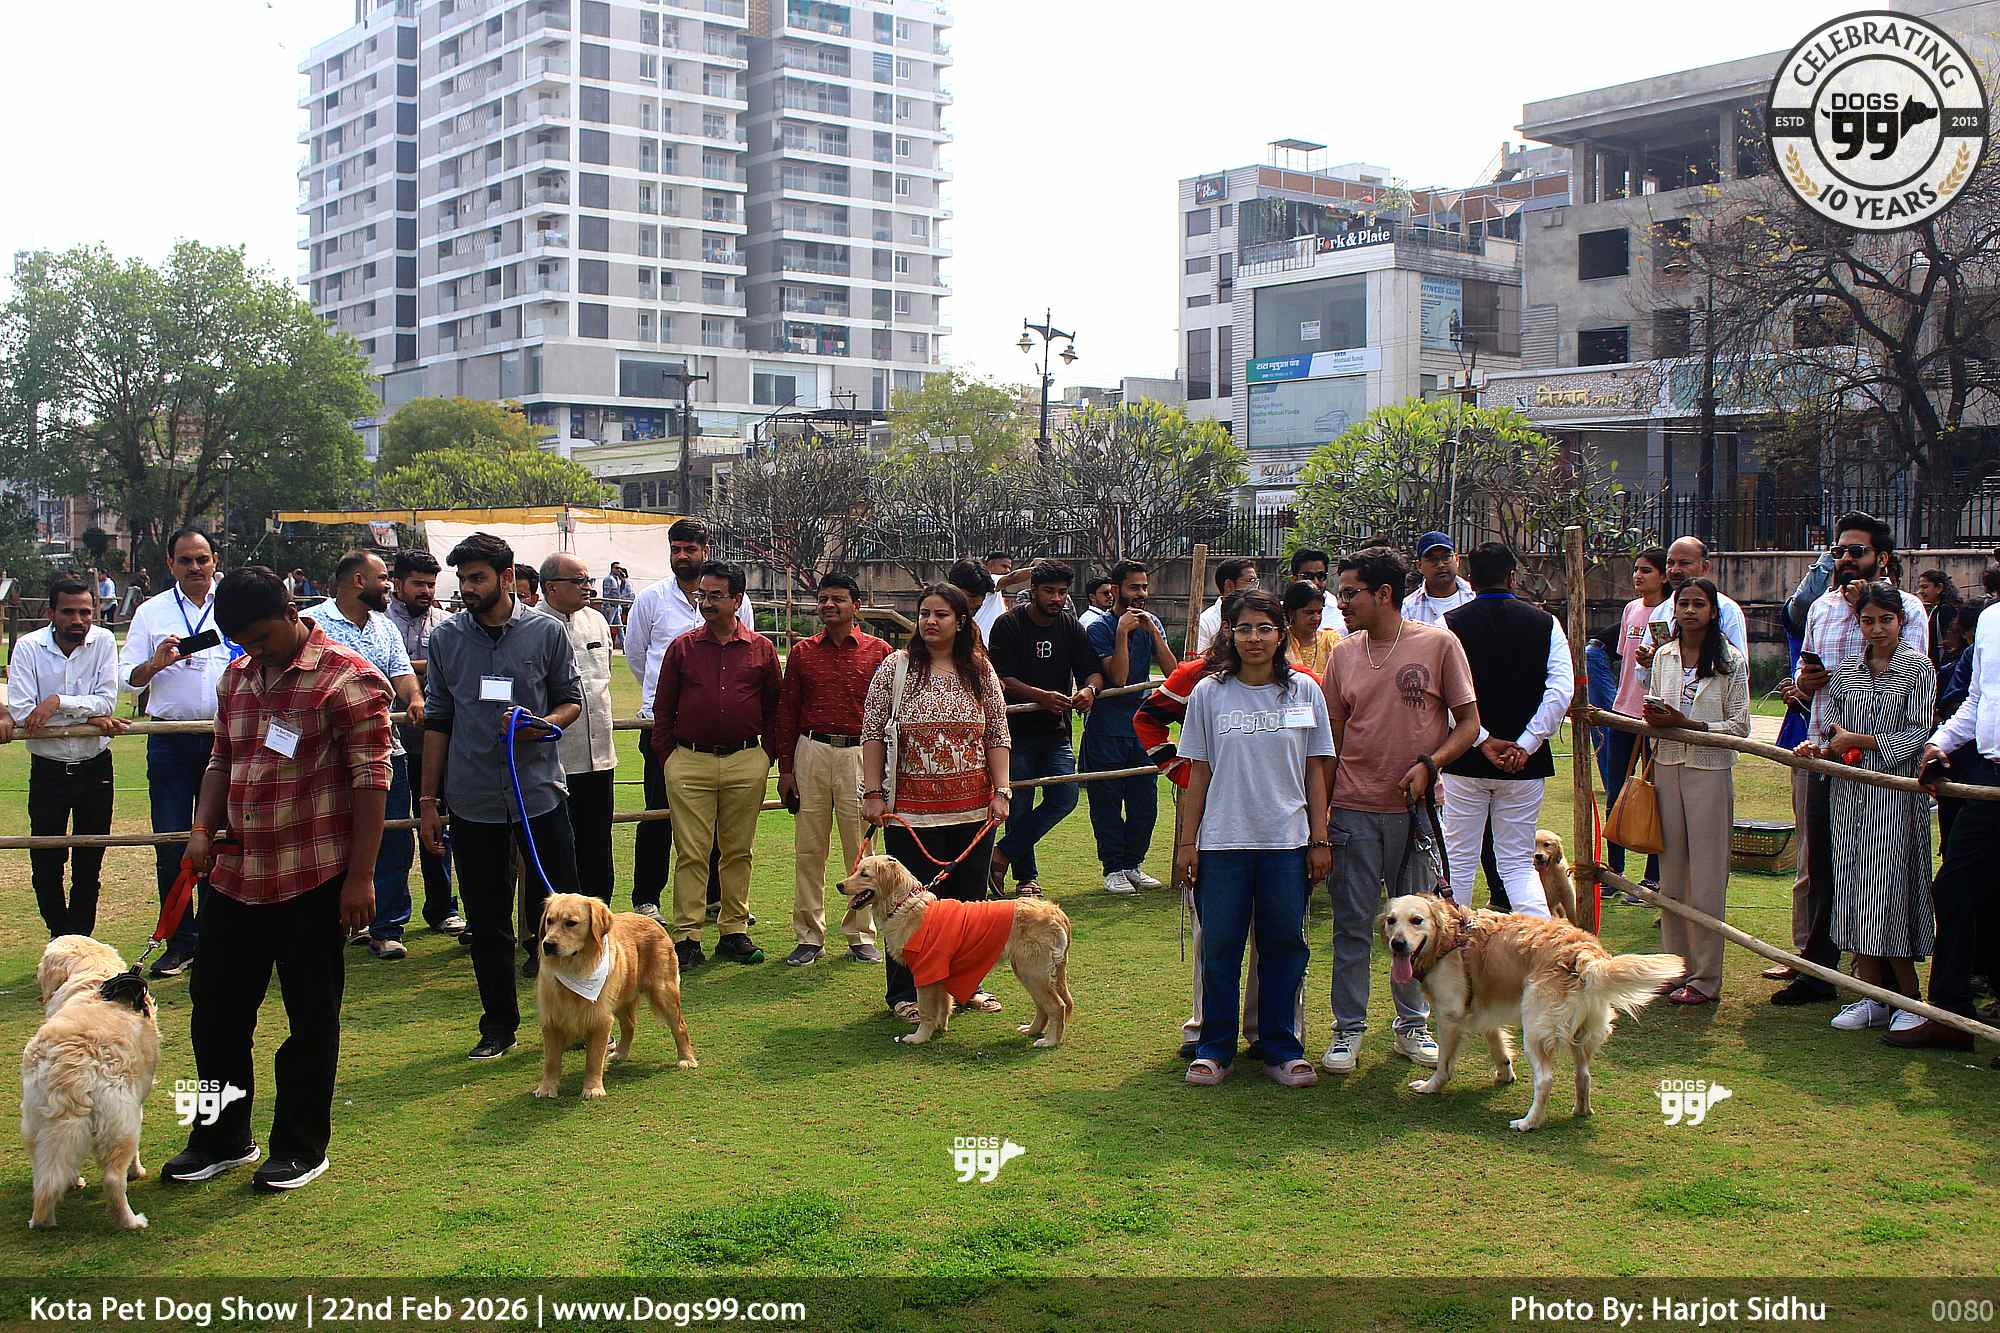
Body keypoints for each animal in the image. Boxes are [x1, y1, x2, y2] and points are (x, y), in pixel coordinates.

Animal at [22, 936, 160, 1229]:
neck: (90, 972)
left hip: (35, 1121)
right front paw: (137, 1171)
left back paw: (48, 1212)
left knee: (46, 1173)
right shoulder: (138, 1100)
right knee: (113, 1180)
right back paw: (132, 1221)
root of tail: (69, 1070)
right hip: (122, 1123)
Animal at [533, 894, 696, 1099]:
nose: (548, 944)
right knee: (629, 1025)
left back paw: (686, 1059)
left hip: (663, 992)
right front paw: (547, 1088)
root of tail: (652, 921)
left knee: (680, 1026)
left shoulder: (600, 1018)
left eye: (571, 923)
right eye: (549, 921)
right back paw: (620, 1053)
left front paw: (593, 1088)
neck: (574, 968)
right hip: (621, 998)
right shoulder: (551, 1019)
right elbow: (551, 1061)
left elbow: (593, 1059)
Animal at [838, 855, 1074, 1047]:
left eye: (864, 874)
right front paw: (939, 1028)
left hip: (1033, 971)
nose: (839, 885)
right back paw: (1032, 1030)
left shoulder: (926, 971)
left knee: (1056, 1006)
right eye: (856, 870)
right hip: (1029, 972)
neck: (903, 904)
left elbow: (926, 1011)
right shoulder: (939, 973)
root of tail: (1056, 911)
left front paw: (919, 1037)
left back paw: (1050, 1041)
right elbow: (943, 1004)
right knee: (1043, 1006)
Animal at [1380, 895, 1683, 1132]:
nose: (1397, 944)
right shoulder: (1485, 1010)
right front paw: (1504, 1075)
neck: (1450, 938)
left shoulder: (1449, 1016)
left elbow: (1444, 1063)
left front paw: (1431, 1086)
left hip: (1536, 1030)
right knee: (1584, 1075)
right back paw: (1581, 1110)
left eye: (1416, 920)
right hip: (1581, 1033)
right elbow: (1498, 1046)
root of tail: (1584, 955)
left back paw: (1529, 1122)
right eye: (1391, 921)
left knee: (1545, 1080)